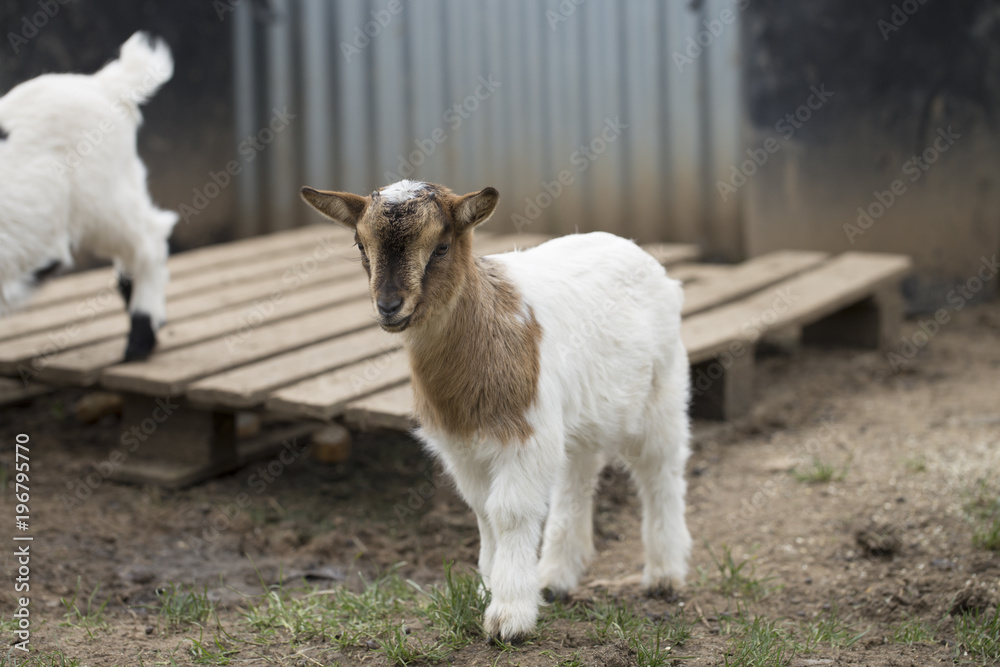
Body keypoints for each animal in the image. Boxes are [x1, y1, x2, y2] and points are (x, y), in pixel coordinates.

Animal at [301, 180, 692, 642]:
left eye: (441, 247)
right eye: (361, 245)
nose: (389, 306)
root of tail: (638, 252)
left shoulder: (525, 434)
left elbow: (510, 512)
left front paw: (509, 616)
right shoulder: (462, 446)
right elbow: (483, 510)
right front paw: (493, 588)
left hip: (661, 391)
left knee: (661, 472)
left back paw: (665, 575)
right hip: (580, 417)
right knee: (576, 477)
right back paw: (556, 577)